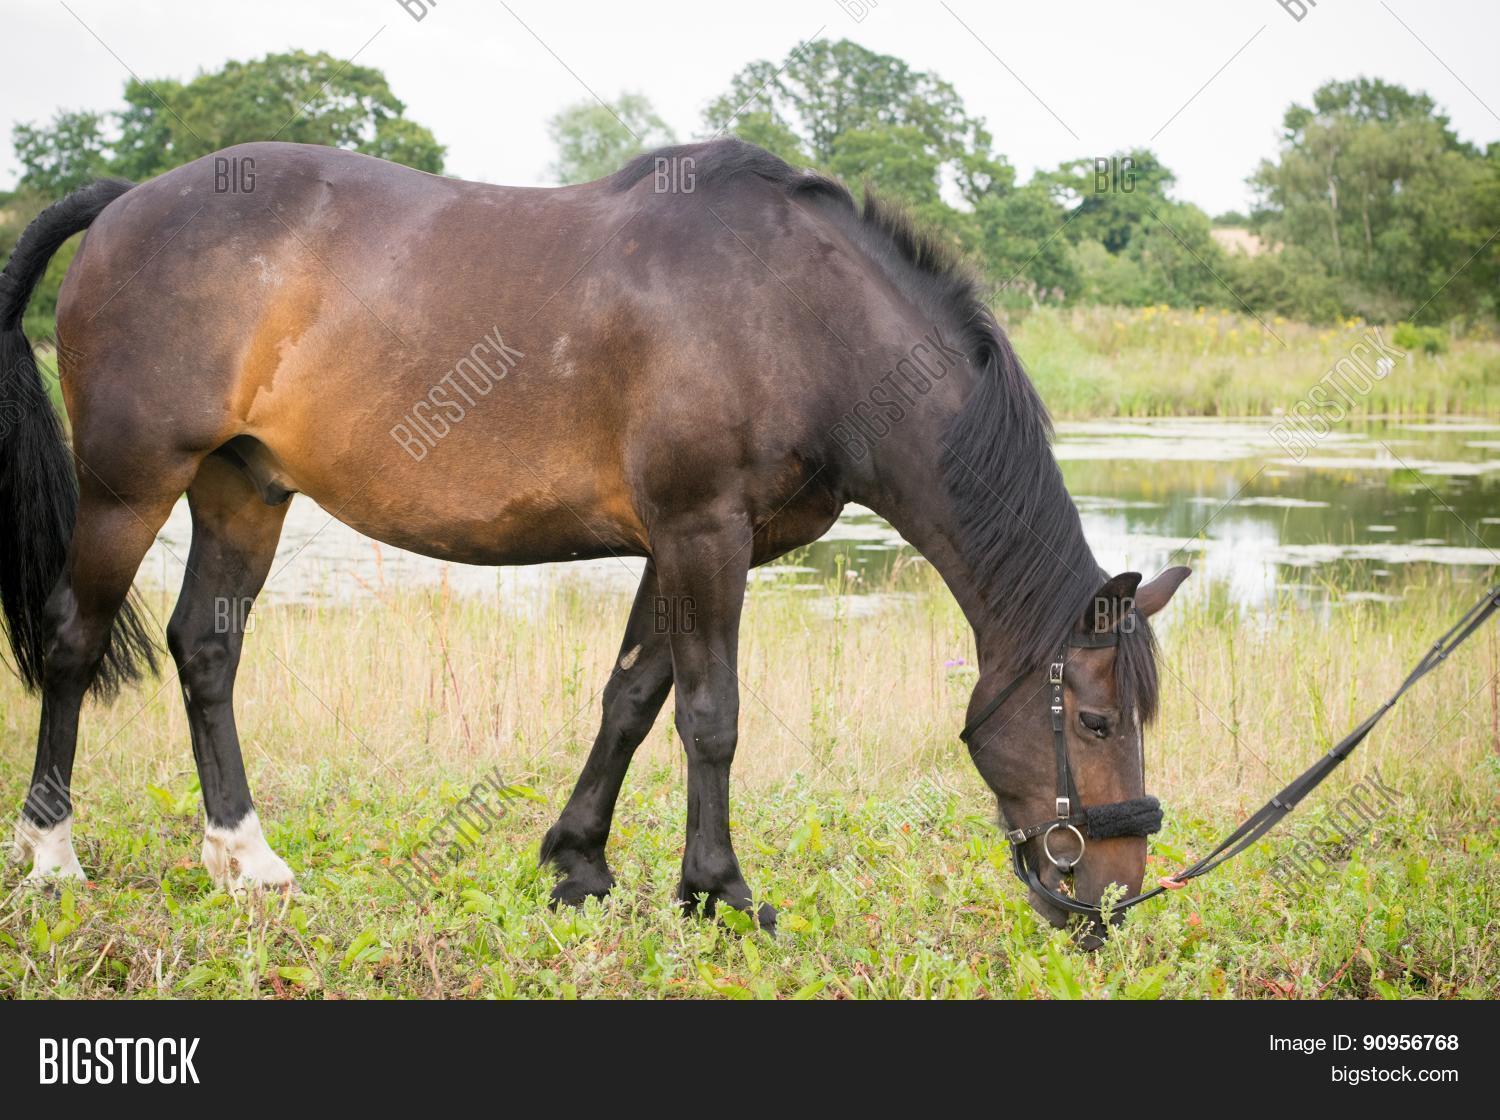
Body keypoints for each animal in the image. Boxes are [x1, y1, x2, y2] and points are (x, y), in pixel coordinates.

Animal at [0, 137, 1189, 932]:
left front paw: (579, 864)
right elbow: (710, 716)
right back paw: (52, 856)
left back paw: (246, 857)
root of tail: (125, 201)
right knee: (71, 639)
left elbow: (632, 698)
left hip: (242, 487)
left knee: (206, 650)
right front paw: (719, 892)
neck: (800, 319)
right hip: (128, 487)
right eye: (1091, 719)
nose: (1115, 899)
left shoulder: (692, 544)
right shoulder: (703, 532)